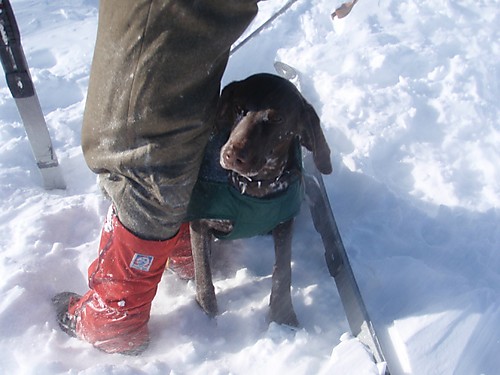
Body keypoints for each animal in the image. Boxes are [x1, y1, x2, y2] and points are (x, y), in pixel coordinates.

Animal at [188, 73, 332, 326]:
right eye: (238, 108)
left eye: (277, 119)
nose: (232, 155)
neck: (252, 187)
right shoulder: (200, 223)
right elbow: (204, 277)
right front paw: (209, 319)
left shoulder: (285, 223)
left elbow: (282, 272)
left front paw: (282, 317)